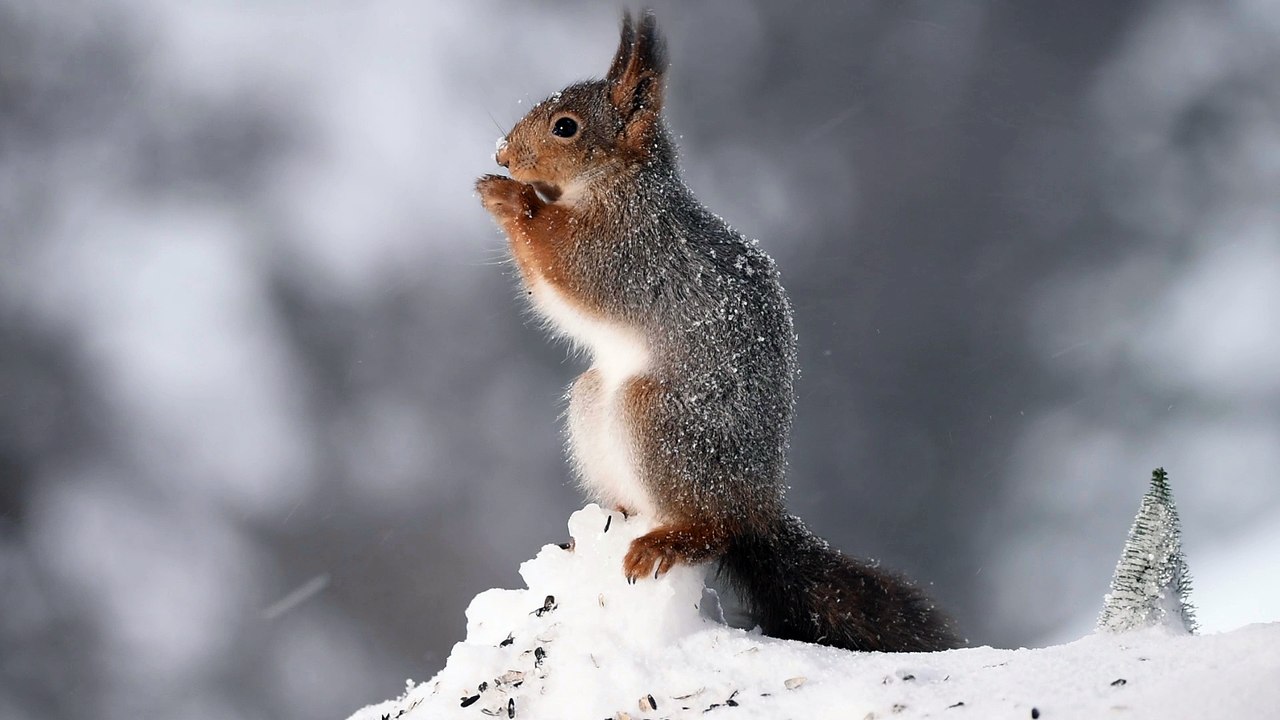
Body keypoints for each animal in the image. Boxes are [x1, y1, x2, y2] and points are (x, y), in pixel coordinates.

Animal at [476, 10, 960, 653]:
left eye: (566, 127)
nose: (504, 154)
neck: (620, 187)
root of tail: (755, 504)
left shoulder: (624, 251)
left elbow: (562, 261)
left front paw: (511, 199)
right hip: (594, 404)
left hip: (662, 421)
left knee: (714, 529)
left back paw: (668, 541)